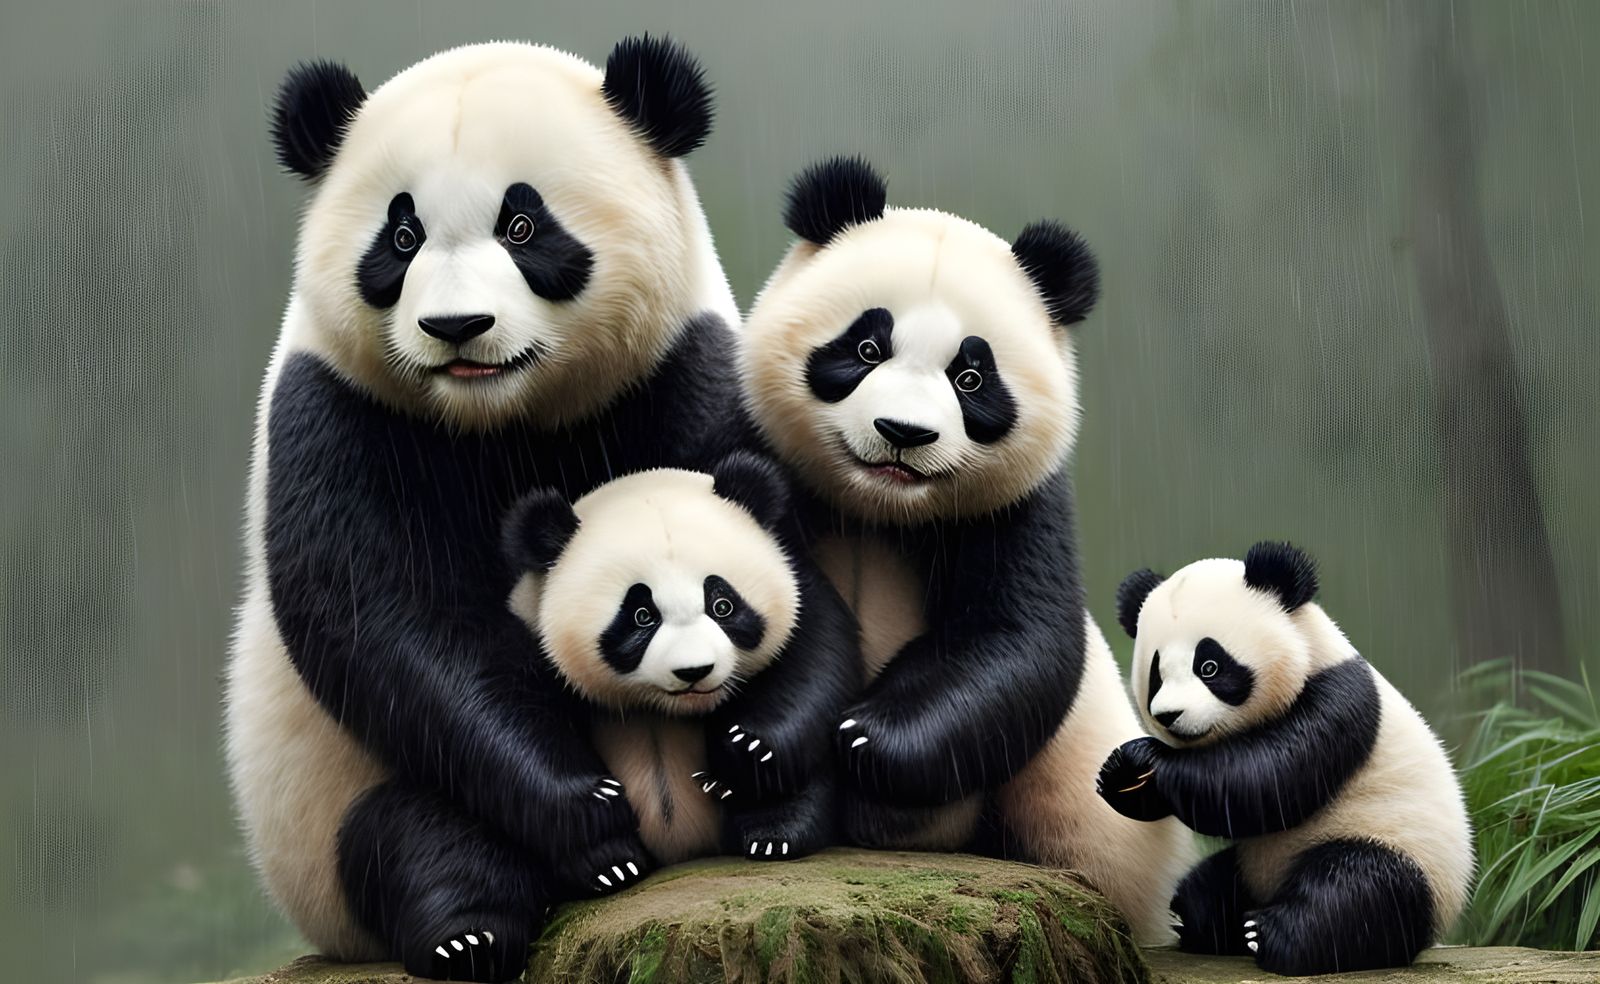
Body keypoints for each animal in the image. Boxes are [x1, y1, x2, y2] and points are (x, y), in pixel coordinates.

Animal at [224, 37, 751, 982]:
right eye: (401, 237)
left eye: (523, 226)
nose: (456, 326)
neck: (499, 418)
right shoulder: (338, 409)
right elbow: (390, 619)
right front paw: (583, 811)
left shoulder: (678, 364)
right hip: (323, 825)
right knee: (409, 834)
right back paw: (473, 926)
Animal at [500, 455, 855, 867]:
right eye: (642, 616)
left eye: (722, 605)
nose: (694, 671)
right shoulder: (529, 633)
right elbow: (510, 717)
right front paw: (597, 801)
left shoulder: (800, 594)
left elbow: (813, 665)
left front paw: (744, 753)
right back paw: (611, 864)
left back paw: (775, 833)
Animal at [738, 156, 1196, 943]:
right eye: (867, 348)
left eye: (970, 377)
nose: (903, 433)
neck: (880, 508)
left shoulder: (1021, 506)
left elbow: (1013, 639)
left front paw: (869, 741)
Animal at [1099, 541, 1474, 975]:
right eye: (1156, 674)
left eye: (1209, 666)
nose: (1168, 715)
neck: (1312, 650)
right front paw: (1119, 776)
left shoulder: (1339, 701)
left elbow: (1265, 781)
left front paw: (1148, 760)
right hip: (1253, 861)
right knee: (1212, 883)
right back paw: (1197, 917)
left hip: (1399, 847)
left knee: (1358, 890)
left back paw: (1268, 934)